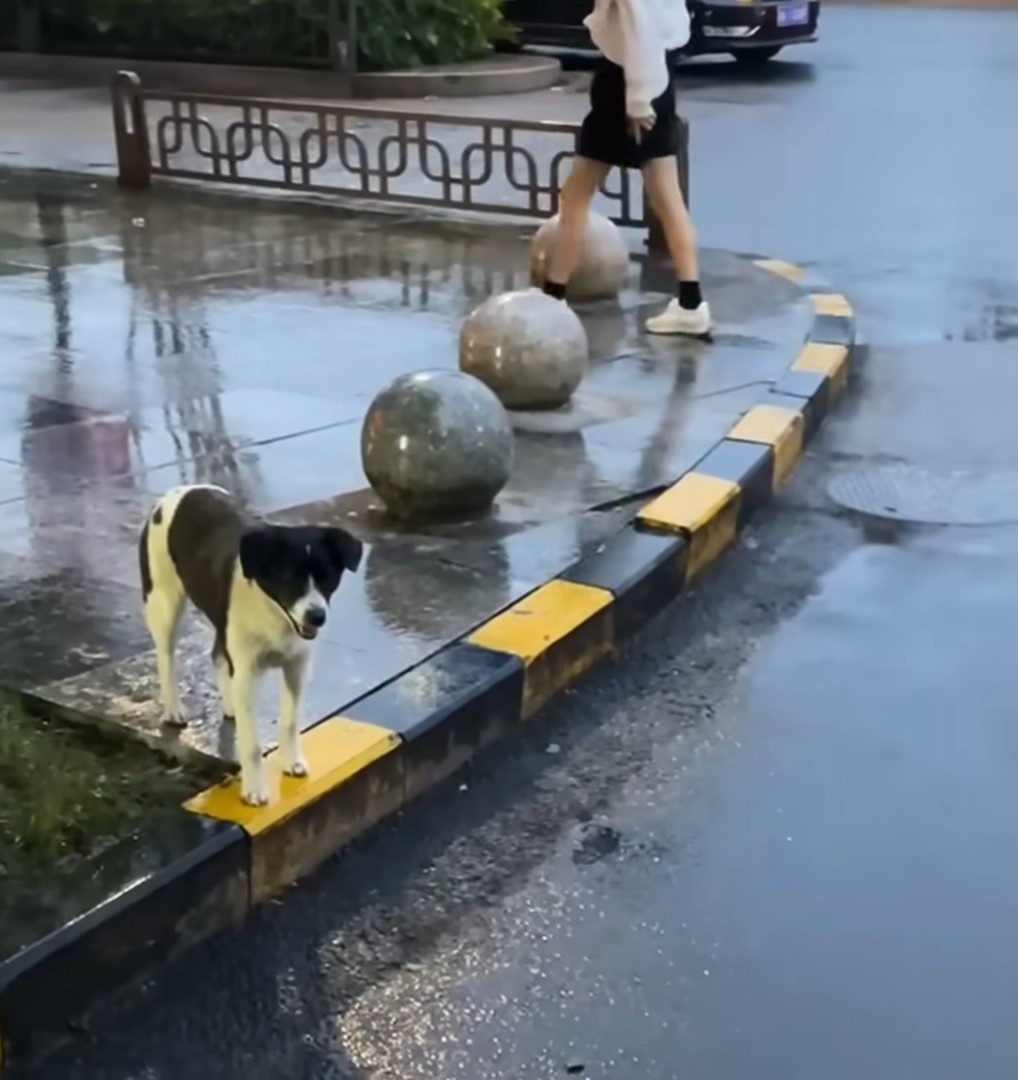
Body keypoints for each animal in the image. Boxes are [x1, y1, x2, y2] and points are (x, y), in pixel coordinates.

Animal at [139, 486, 362, 807]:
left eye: (327, 577)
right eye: (291, 576)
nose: (317, 617)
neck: (274, 614)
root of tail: (178, 491)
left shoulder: (297, 666)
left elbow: (290, 722)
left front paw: (292, 761)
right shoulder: (247, 672)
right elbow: (252, 744)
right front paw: (254, 789)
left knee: (217, 655)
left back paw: (229, 704)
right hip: (163, 602)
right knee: (166, 655)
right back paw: (173, 709)